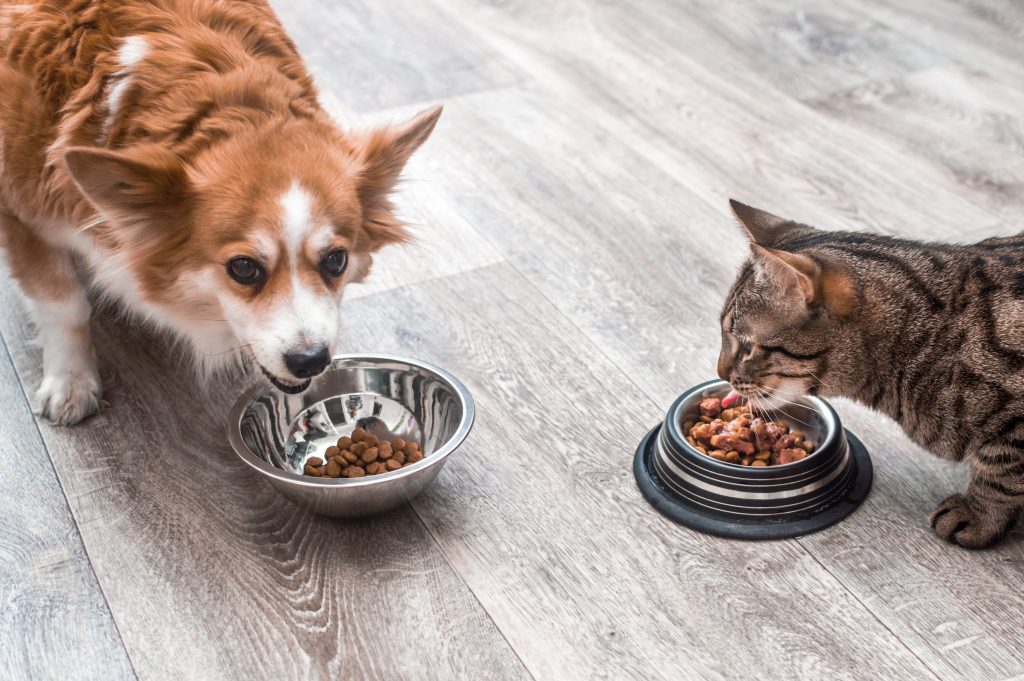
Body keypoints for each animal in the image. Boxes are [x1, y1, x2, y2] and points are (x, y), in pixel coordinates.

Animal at [0, 0, 440, 421]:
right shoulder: (21, 218)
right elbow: (64, 304)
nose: (311, 361)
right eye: (243, 268)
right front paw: (70, 382)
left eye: (336, 260)